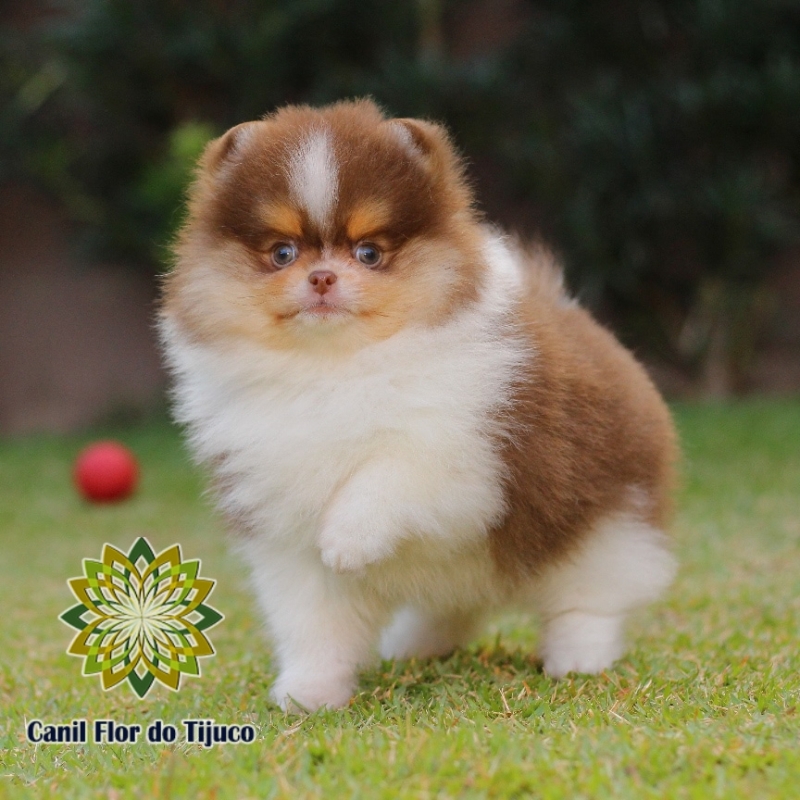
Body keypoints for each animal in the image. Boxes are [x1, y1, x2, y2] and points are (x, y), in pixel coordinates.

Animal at [161, 98, 676, 712]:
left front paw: (347, 540)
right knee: (457, 603)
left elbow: (386, 473)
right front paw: (309, 693)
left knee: (588, 599)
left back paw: (577, 657)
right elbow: (316, 625)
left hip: (604, 523)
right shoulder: (282, 527)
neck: (334, 369)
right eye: (281, 253)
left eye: (370, 253)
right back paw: (418, 644)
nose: (322, 276)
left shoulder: (468, 456)